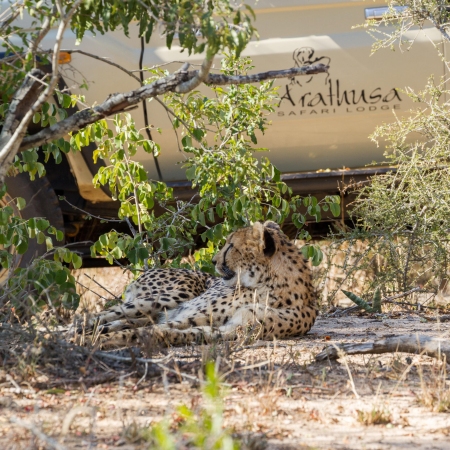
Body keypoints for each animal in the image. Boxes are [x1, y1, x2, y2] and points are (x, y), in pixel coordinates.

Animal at [78, 221, 316, 348]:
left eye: (230, 246)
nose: (213, 261)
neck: (267, 286)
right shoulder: (187, 315)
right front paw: (96, 339)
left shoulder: (228, 330)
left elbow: (162, 331)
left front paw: (107, 339)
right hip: (169, 296)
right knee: (98, 316)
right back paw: (76, 329)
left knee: (122, 321)